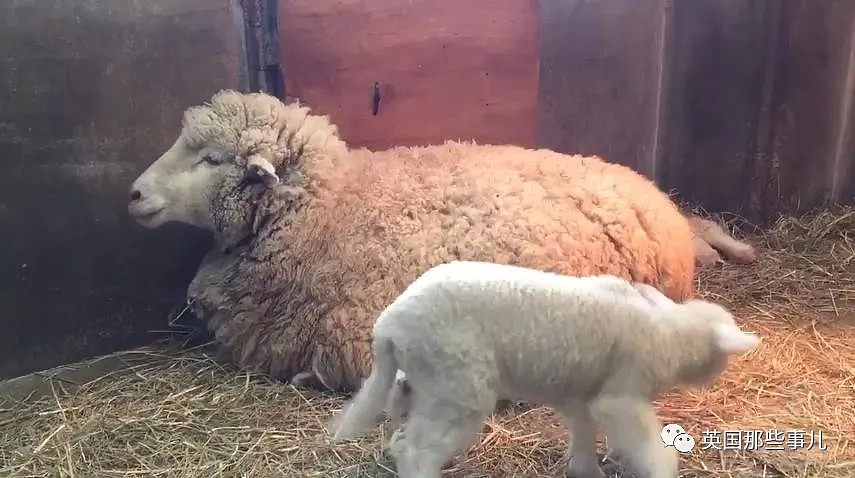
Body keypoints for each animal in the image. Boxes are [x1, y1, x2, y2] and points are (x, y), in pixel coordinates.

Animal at [330, 262, 764, 478]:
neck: (666, 333)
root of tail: (387, 325)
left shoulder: (582, 394)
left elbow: (584, 432)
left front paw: (586, 470)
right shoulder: (621, 396)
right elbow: (644, 444)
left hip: (431, 378)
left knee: (403, 421)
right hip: (459, 384)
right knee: (416, 450)